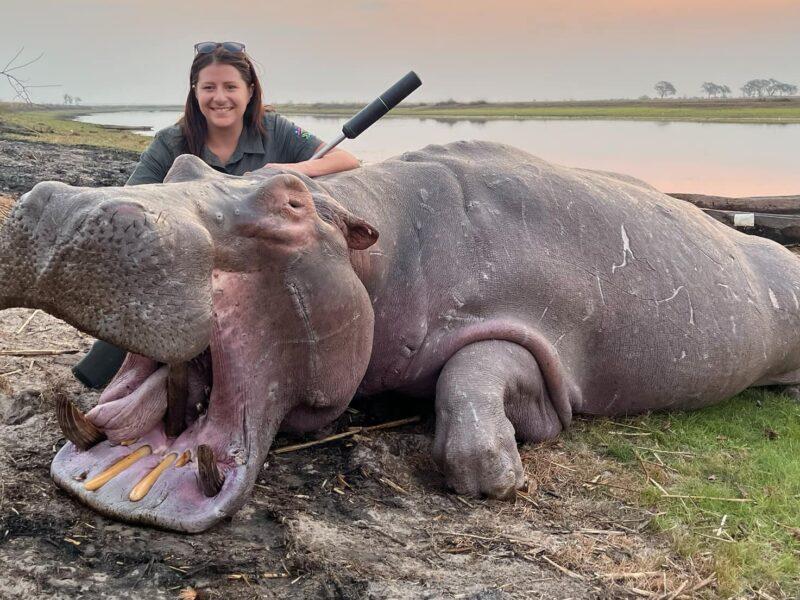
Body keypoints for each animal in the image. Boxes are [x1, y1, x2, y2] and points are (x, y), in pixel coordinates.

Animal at [1, 141, 799, 533]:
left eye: (291, 201)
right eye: (184, 165)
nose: (70, 209)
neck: (370, 242)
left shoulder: (533, 336)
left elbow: (473, 380)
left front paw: (498, 476)